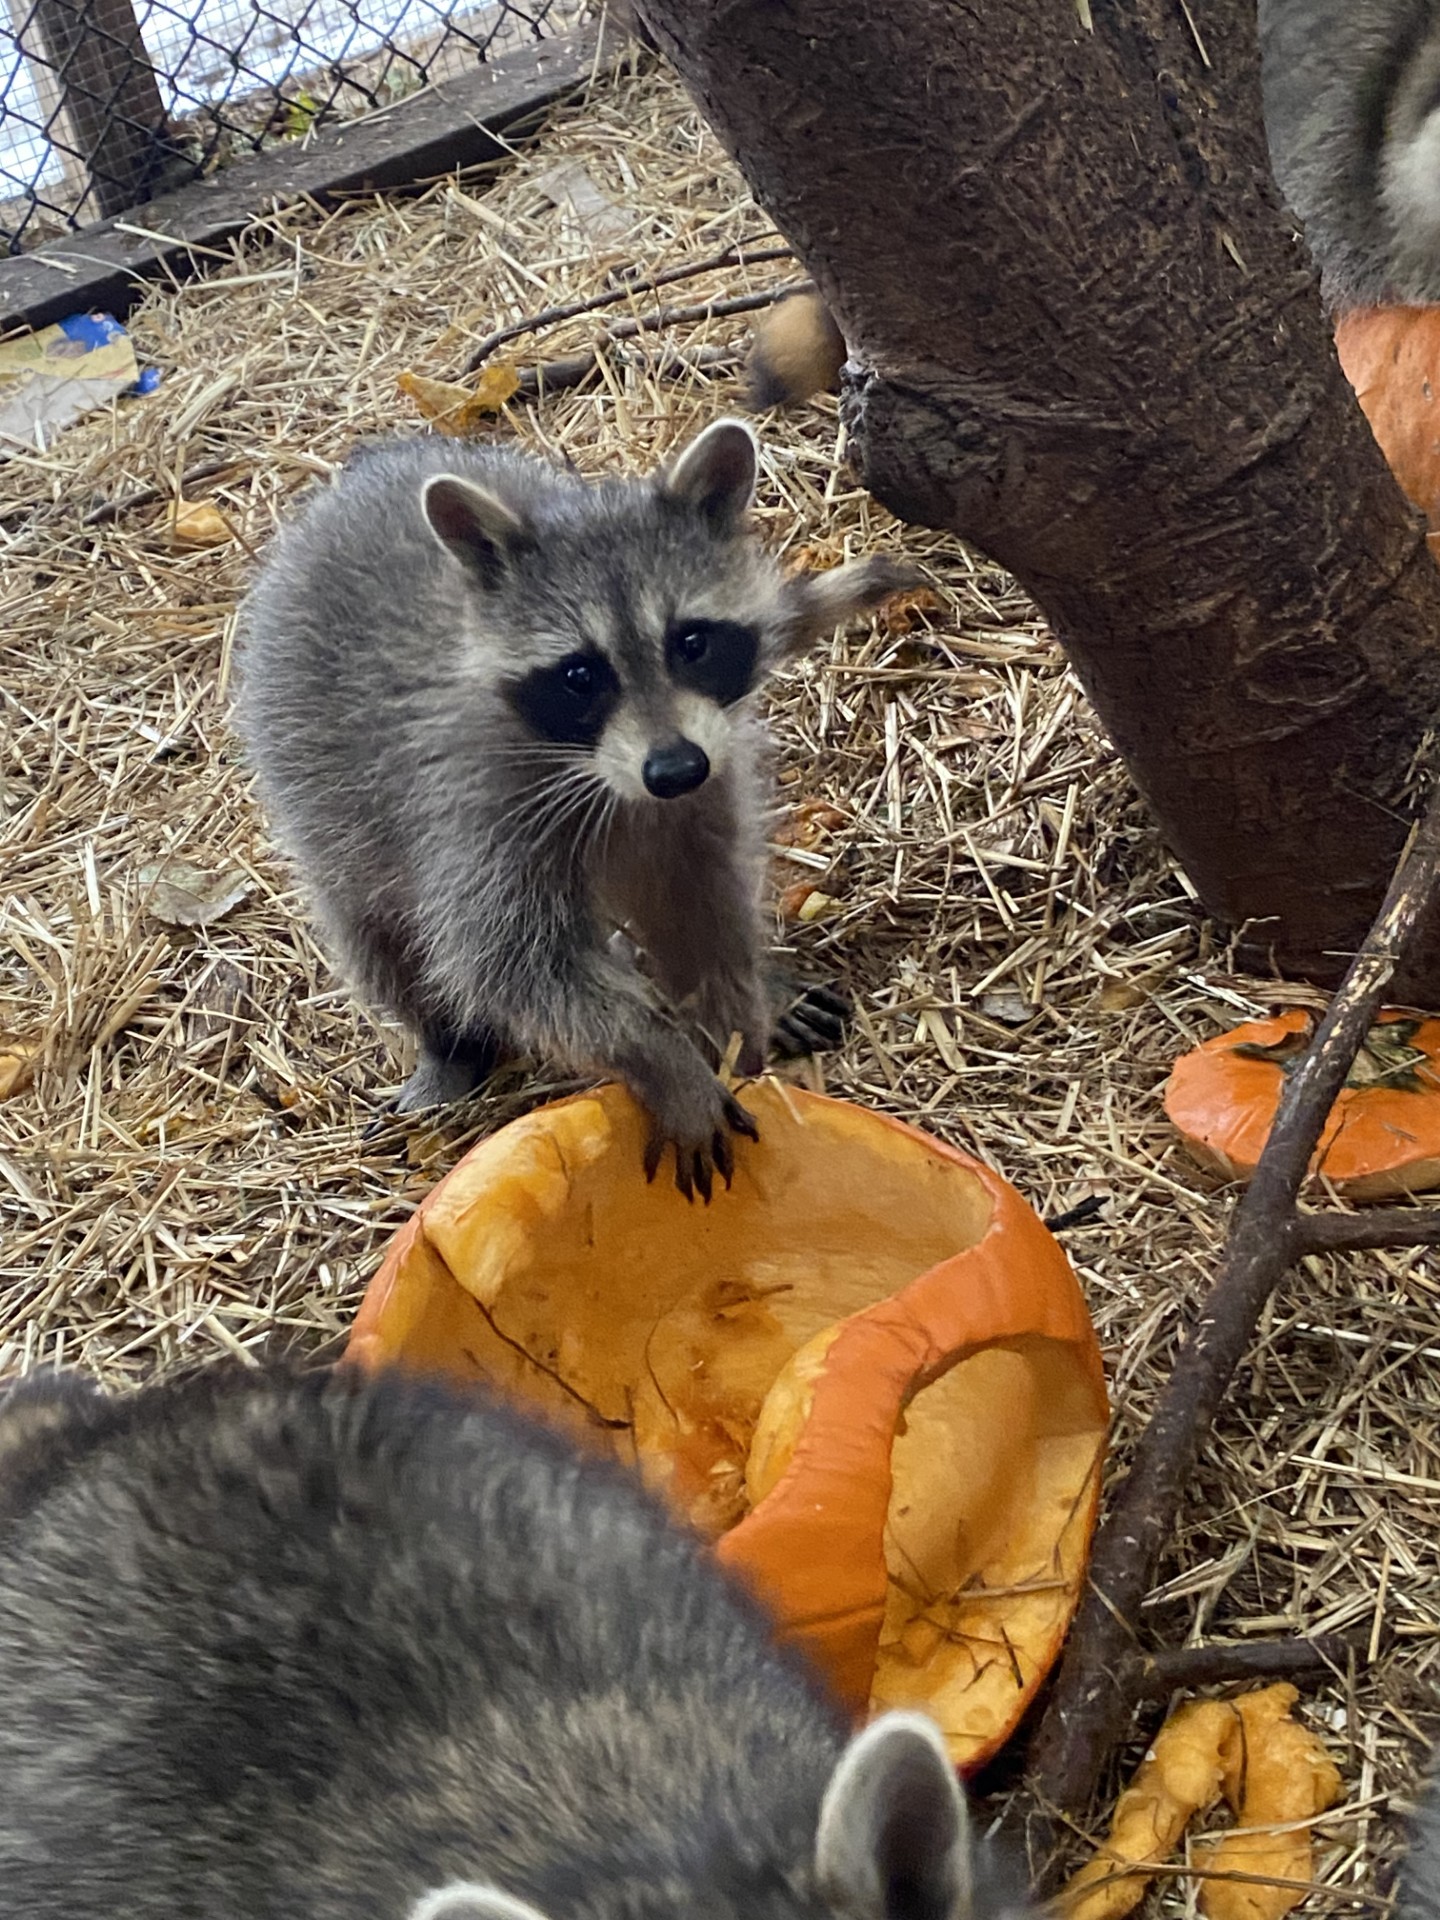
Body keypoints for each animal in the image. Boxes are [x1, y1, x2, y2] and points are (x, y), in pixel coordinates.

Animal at [237, 428, 913, 1190]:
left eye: (692, 642)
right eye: (581, 676)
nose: (675, 769)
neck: (608, 778)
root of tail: (365, 470)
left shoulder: (701, 789)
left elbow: (703, 910)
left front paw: (737, 1028)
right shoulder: (466, 808)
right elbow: (514, 965)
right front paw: (663, 1060)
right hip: (321, 796)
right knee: (380, 936)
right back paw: (449, 1047)